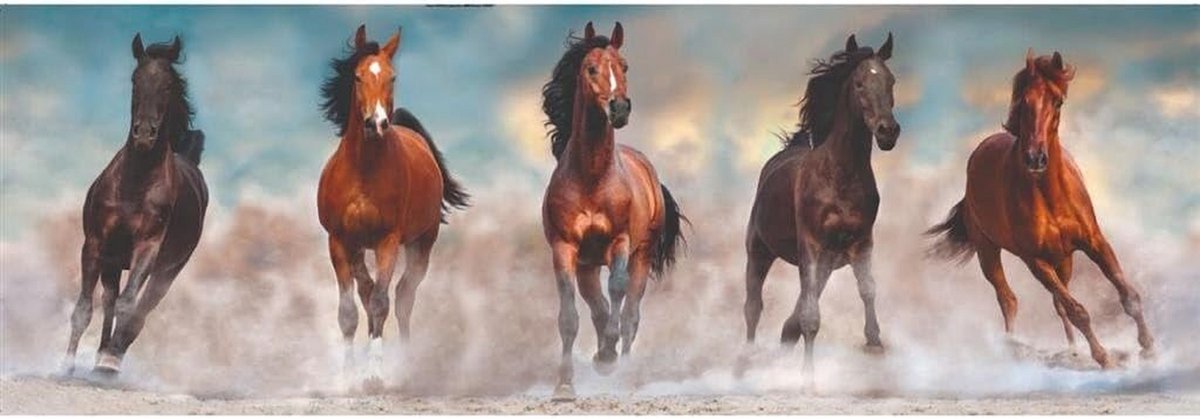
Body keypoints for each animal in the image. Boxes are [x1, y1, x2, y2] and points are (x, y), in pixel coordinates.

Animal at [62, 34, 209, 375]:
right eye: (134, 80)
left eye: (168, 85)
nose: (144, 134)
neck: (135, 184)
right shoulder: (96, 244)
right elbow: (85, 308)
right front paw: (67, 364)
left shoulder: (148, 249)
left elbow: (129, 307)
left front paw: (108, 362)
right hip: (114, 262)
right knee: (109, 301)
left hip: (167, 272)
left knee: (141, 311)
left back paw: (111, 359)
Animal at [317, 25, 469, 378]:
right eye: (357, 76)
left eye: (393, 77)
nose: (377, 123)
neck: (363, 170)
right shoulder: (338, 241)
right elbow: (348, 310)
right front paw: (348, 375)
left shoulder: (388, 240)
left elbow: (381, 302)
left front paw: (375, 374)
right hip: (359, 248)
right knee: (367, 290)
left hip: (421, 244)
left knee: (402, 297)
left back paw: (405, 360)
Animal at [540, 22, 686, 401]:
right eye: (591, 68)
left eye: (625, 66)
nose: (619, 109)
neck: (592, 176)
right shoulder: (565, 249)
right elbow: (570, 317)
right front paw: (564, 385)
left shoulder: (620, 242)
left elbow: (618, 292)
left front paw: (607, 357)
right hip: (588, 265)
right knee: (598, 308)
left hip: (642, 255)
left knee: (631, 314)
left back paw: (625, 375)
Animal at [742, 33, 900, 389]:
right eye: (858, 83)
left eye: (891, 81)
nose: (888, 132)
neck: (839, 176)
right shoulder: (811, 245)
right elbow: (810, 316)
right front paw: (808, 379)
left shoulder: (860, 241)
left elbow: (867, 289)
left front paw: (874, 345)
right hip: (759, 251)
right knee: (753, 307)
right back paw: (744, 366)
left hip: (828, 259)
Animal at [927, 49, 1154, 368]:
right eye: (1023, 101)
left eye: (1058, 101)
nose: (1035, 158)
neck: (1049, 195)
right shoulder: (1035, 261)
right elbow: (1078, 311)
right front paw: (1104, 358)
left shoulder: (1094, 243)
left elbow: (1128, 296)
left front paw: (1148, 347)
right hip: (989, 252)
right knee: (1009, 299)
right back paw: (1012, 347)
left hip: (1064, 259)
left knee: (1057, 303)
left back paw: (1072, 350)